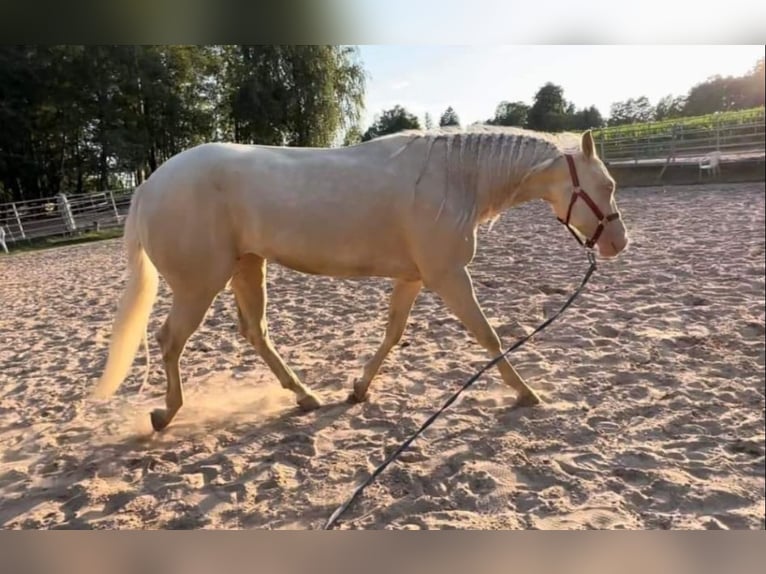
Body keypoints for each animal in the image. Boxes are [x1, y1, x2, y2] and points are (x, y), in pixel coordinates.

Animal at [93, 126, 629, 432]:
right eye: (607, 184)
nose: (618, 243)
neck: (454, 179)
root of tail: (149, 184)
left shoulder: (416, 278)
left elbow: (393, 333)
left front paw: (358, 389)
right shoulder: (448, 276)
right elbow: (489, 336)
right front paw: (527, 393)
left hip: (247, 265)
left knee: (254, 332)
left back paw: (306, 397)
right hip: (199, 283)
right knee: (170, 340)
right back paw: (165, 414)